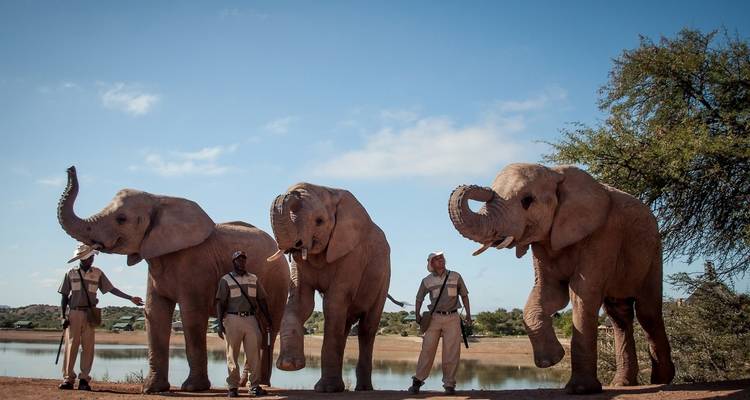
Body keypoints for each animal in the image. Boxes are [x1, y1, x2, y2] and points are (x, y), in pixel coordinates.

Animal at [56, 166, 289, 393]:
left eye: (121, 219)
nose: (70, 168)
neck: (158, 198)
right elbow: (155, 313)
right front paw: (152, 389)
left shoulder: (196, 265)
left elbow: (192, 316)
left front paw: (193, 388)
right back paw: (245, 384)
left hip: (278, 281)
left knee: (266, 330)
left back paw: (260, 384)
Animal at [267, 183, 391, 392]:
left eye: (319, 221)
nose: (291, 193)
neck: (327, 190)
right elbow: (301, 303)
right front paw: (289, 365)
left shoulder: (352, 254)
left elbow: (333, 304)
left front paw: (326, 389)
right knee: (345, 325)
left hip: (383, 280)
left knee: (367, 328)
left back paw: (363, 389)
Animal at [448, 163, 675, 394]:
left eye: (527, 201)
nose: (484, 189)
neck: (555, 172)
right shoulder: (543, 241)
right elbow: (550, 292)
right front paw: (552, 360)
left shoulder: (603, 234)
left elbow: (582, 293)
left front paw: (580, 389)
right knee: (619, 316)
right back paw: (622, 383)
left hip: (653, 251)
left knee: (647, 312)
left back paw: (662, 379)